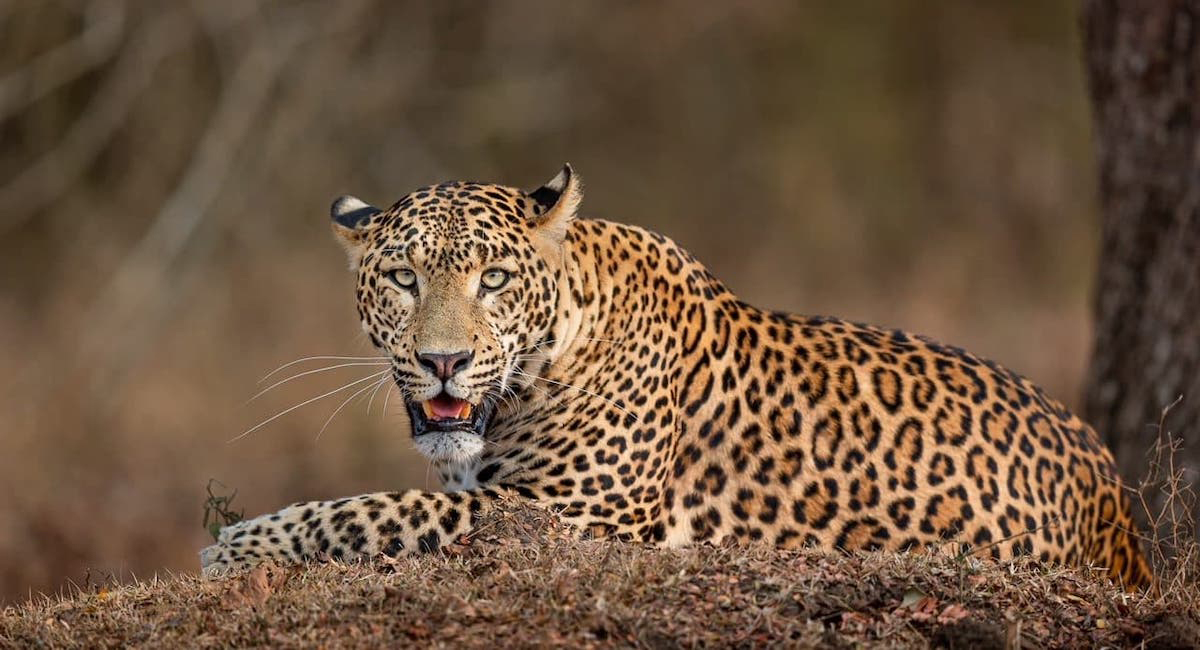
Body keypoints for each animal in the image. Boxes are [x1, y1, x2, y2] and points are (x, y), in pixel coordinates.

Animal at [200, 164, 1152, 590]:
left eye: (494, 280)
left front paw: (235, 545)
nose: (444, 361)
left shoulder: (569, 518)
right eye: (403, 279)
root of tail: (1120, 512)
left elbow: (374, 508)